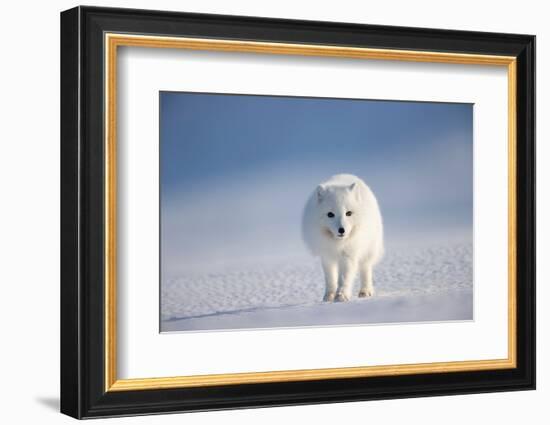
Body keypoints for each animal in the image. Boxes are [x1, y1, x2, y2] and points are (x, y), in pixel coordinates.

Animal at [302, 173, 384, 302]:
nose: (342, 230)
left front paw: (341, 296)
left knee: (365, 269)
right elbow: (330, 278)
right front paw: (328, 296)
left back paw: (365, 291)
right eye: (330, 214)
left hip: (369, 249)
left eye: (348, 213)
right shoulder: (327, 256)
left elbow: (344, 277)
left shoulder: (349, 255)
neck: (338, 244)